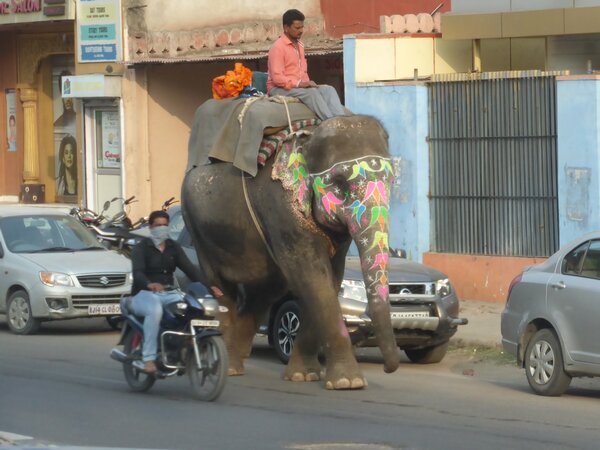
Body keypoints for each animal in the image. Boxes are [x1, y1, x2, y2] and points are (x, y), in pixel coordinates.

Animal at [181, 114, 399, 389]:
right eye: (339, 184)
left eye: (392, 181)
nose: (388, 368)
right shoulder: (281, 207)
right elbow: (313, 276)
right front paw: (348, 382)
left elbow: (331, 278)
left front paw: (303, 376)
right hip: (197, 229)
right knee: (223, 291)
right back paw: (226, 366)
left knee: (262, 292)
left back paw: (236, 361)